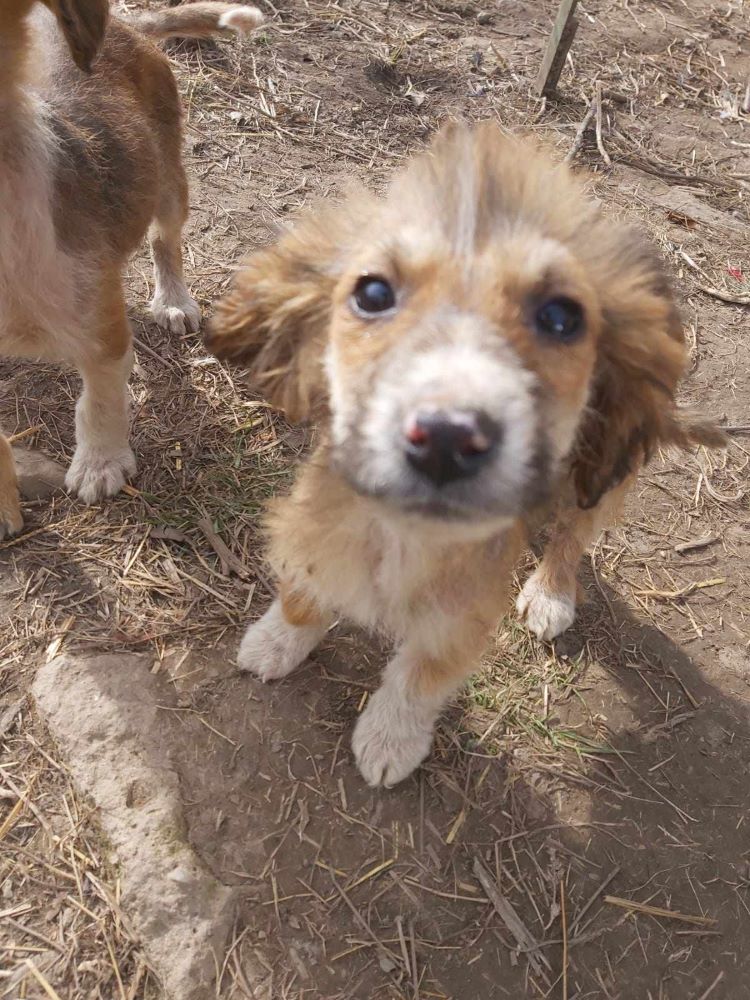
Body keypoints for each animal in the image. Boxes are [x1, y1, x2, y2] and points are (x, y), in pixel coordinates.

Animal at [0, 0, 264, 540]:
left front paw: (100, 464)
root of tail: (127, 25)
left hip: (168, 179)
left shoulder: (104, 329)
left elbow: (99, 400)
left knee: (166, 239)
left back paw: (174, 301)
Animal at [209, 119, 724, 788]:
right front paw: (276, 642)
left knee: (573, 534)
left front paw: (390, 739)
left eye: (562, 316)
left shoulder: (463, 610)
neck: (403, 534)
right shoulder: (318, 522)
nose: (448, 438)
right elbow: (304, 591)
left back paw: (552, 592)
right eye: (373, 292)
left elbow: (421, 675)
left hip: (601, 475)